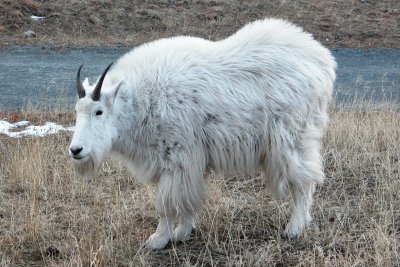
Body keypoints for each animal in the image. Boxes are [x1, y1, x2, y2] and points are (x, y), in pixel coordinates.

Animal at [69, 18, 334, 249]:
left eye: (99, 111)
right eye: (77, 110)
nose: (76, 150)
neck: (140, 102)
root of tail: (323, 63)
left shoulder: (177, 157)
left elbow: (167, 203)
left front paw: (158, 240)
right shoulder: (183, 162)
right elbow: (187, 198)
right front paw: (183, 232)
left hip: (292, 138)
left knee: (304, 183)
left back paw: (294, 229)